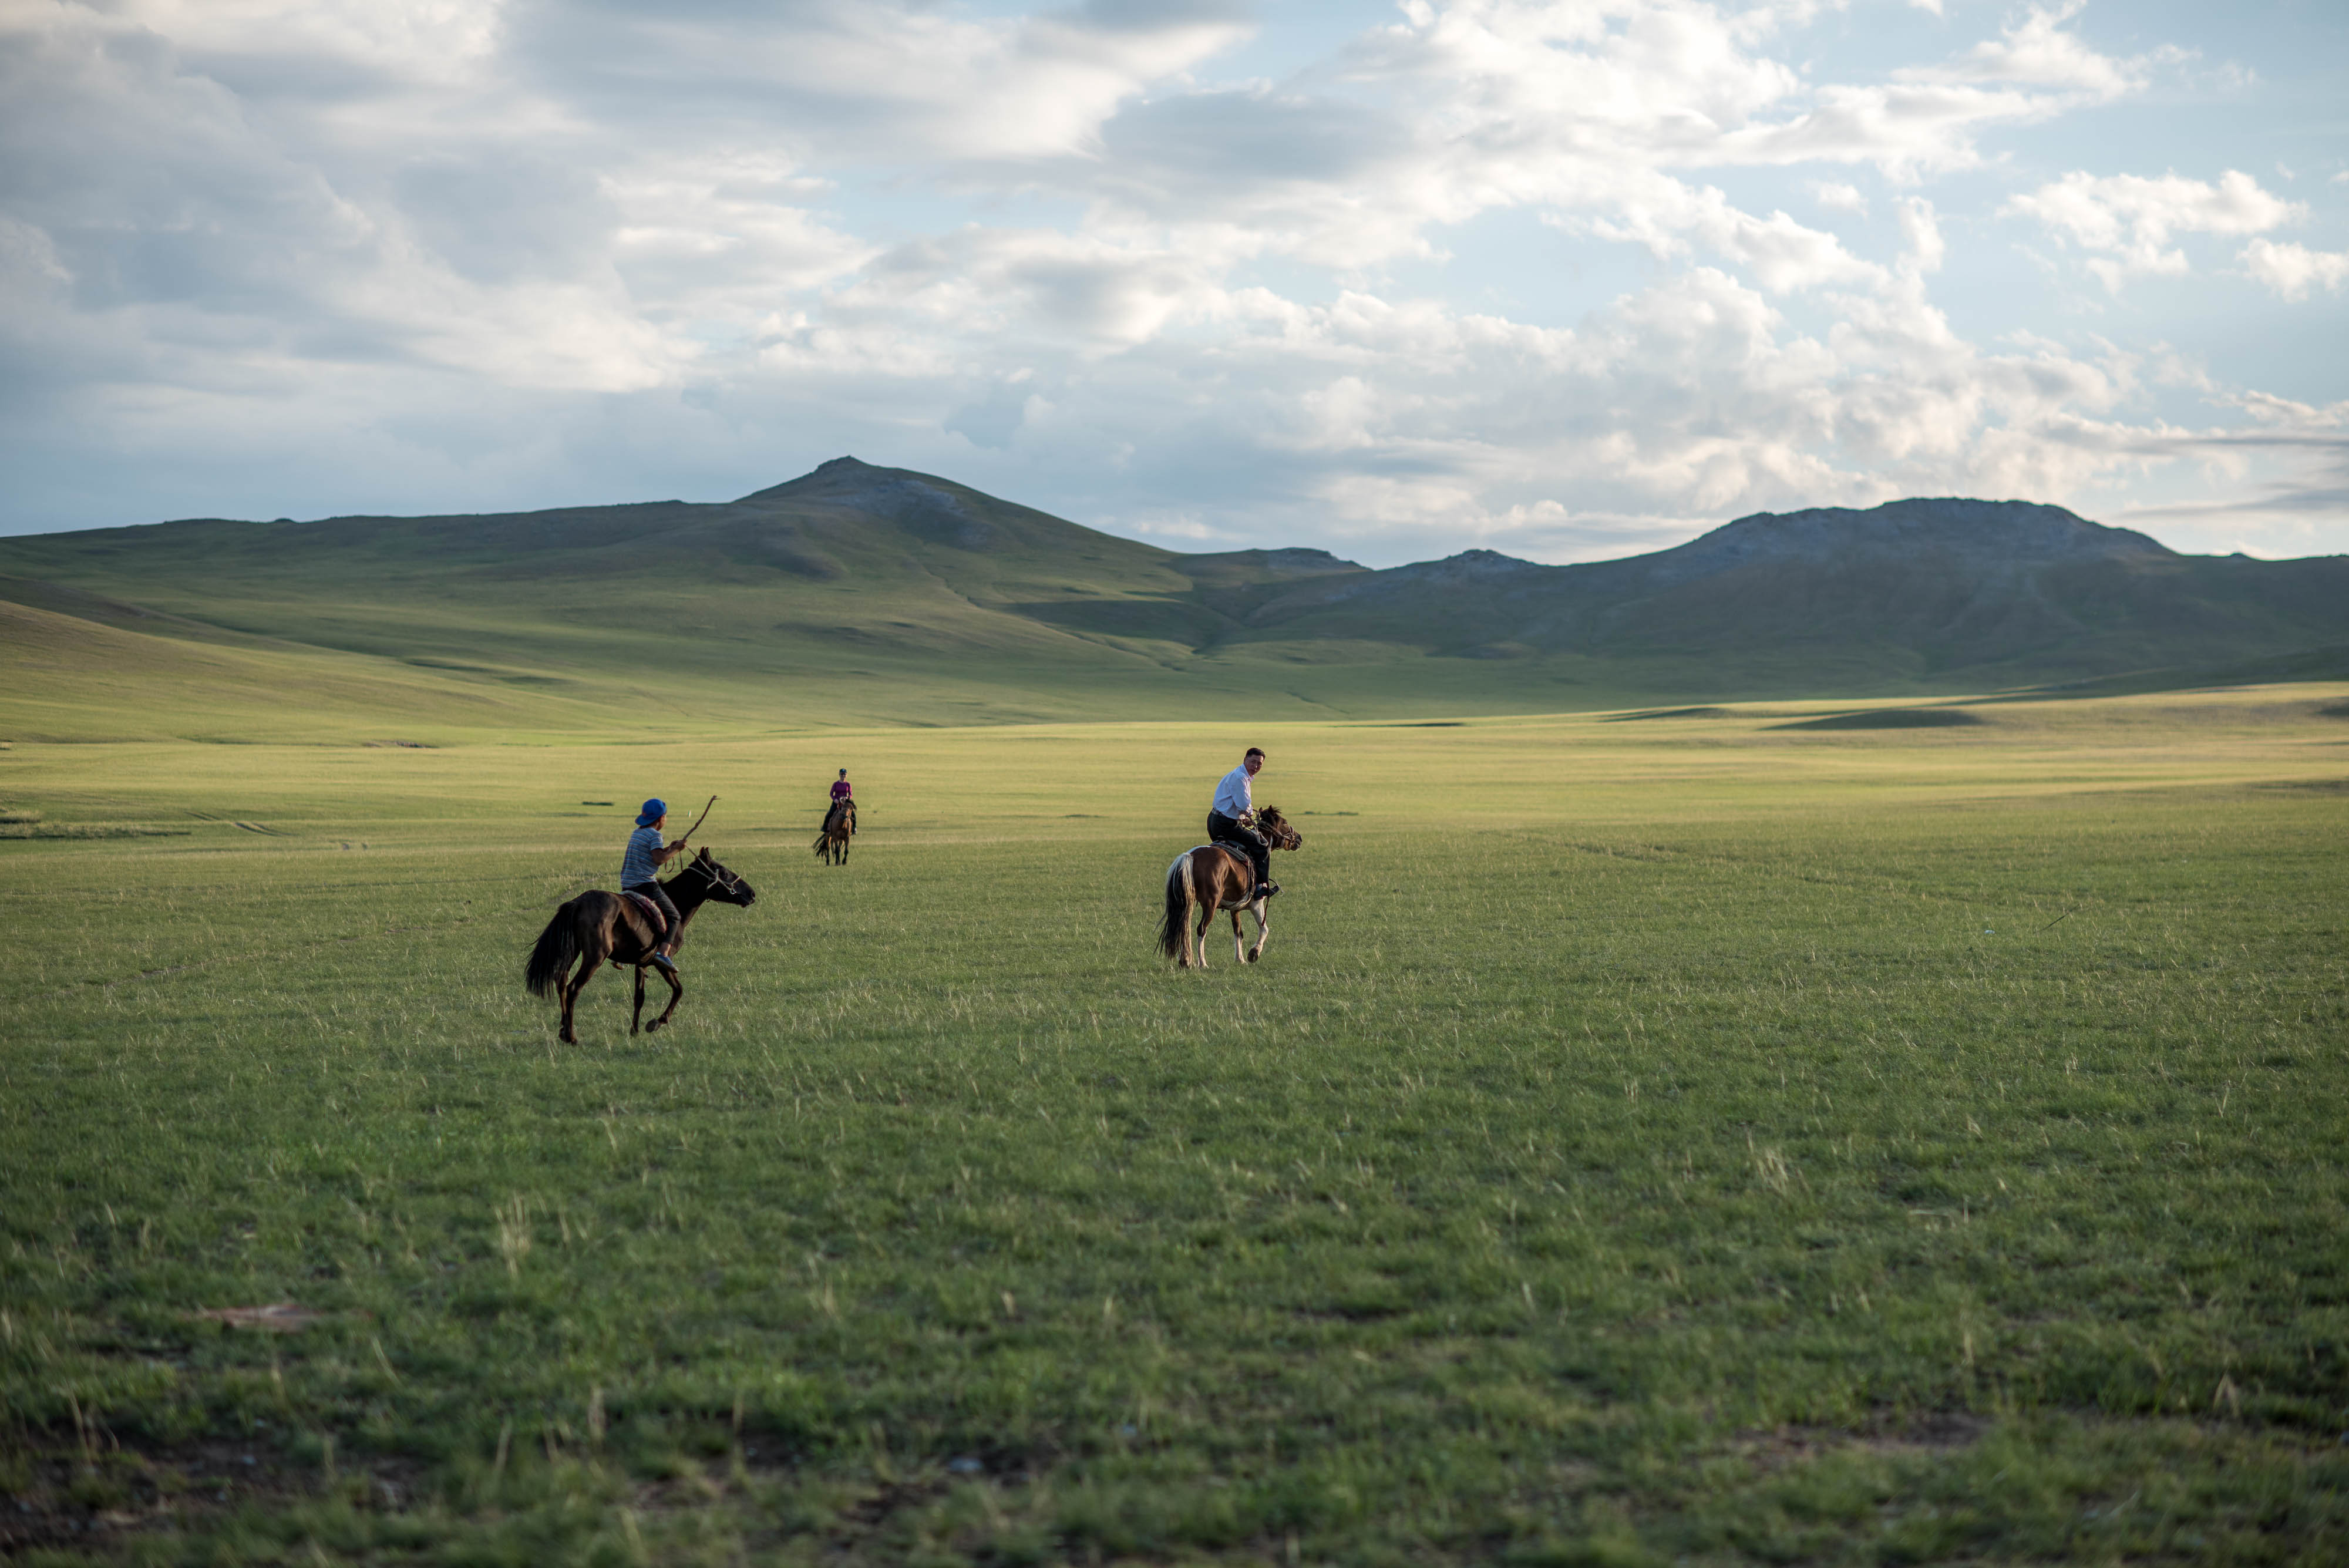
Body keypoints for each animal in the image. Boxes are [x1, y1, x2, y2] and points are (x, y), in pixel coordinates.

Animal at [529, 849, 756, 1032]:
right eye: (724, 873)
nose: (752, 894)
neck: (676, 902)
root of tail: (578, 902)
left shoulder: (642, 962)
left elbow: (639, 997)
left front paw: (634, 1030)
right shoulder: (662, 961)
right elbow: (679, 990)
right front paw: (657, 1022)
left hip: (573, 951)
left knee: (561, 982)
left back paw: (562, 1029)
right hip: (594, 957)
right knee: (573, 988)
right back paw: (570, 1036)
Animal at [1156, 807, 1306, 967]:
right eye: (1284, 823)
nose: (1299, 838)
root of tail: (1191, 856)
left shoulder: (1235, 908)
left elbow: (1238, 932)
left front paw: (1240, 959)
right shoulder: (1257, 905)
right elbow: (1264, 929)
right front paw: (1253, 953)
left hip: (1188, 902)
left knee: (1184, 927)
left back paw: (1185, 960)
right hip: (1210, 905)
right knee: (1201, 929)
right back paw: (1202, 963)